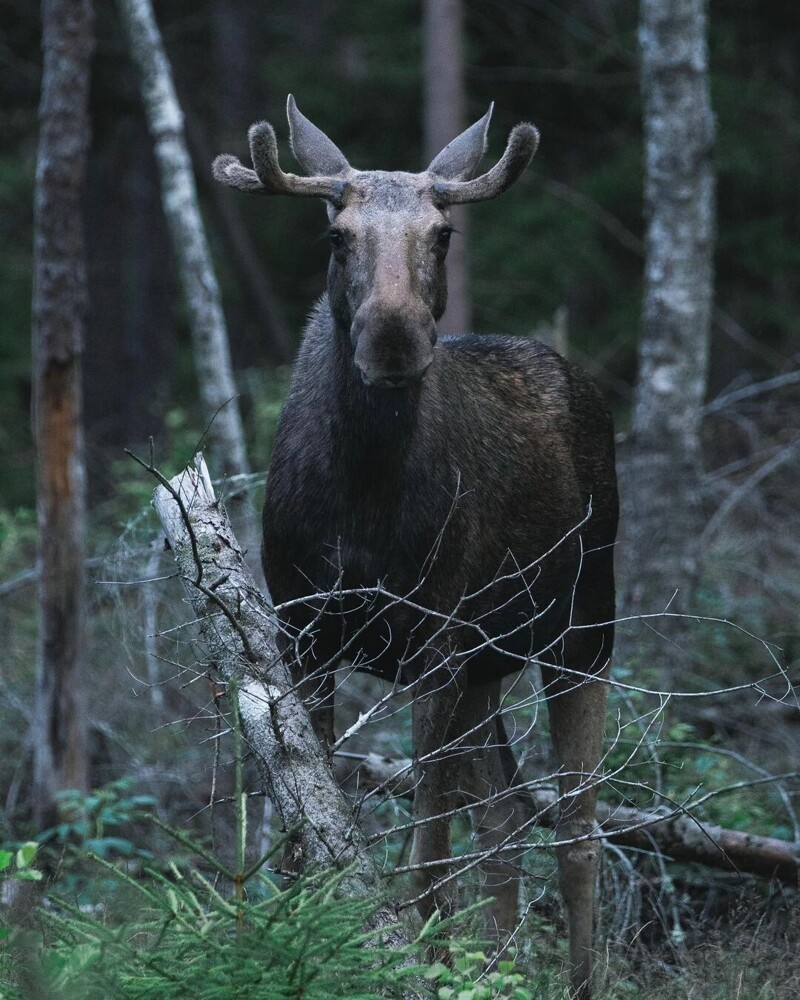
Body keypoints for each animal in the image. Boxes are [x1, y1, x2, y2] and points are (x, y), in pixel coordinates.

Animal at [214, 95, 620, 1000]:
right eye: (336, 234)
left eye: (443, 232)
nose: (394, 335)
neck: (364, 497)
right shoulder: (305, 631)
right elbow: (307, 831)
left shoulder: (436, 638)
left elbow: (427, 856)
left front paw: (422, 959)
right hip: (490, 666)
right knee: (505, 819)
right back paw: (500, 969)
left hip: (583, 631)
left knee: (577, 830)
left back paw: (575, 978)